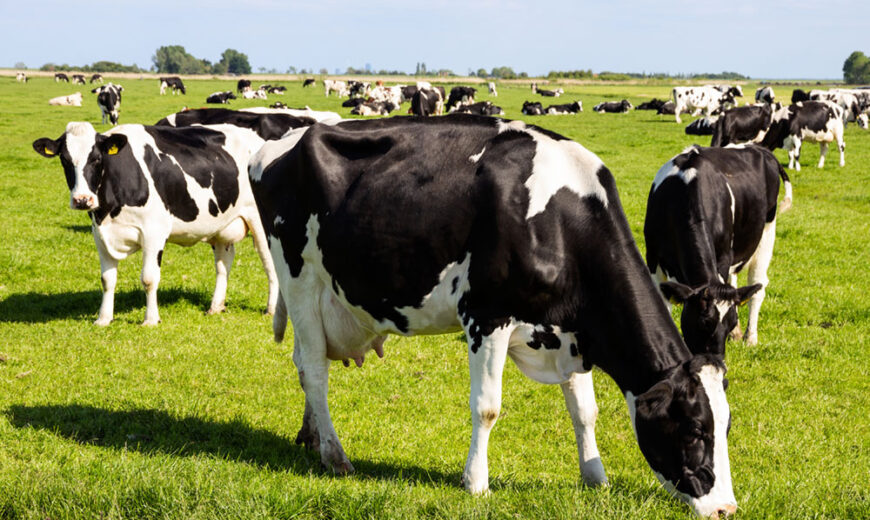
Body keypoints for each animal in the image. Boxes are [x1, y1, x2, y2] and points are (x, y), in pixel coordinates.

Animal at [32, 122, 279, 325]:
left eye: (96, 159)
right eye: (64, 160)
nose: (82, 199)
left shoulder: (154, 231)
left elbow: (149, 278)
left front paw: (150, 320)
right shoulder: (100, 234)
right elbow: (107, 279)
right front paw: (103, 319)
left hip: (261, 223)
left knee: (270, 263)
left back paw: (271, 309)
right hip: (220, 227)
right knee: (223, 264)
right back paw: (215, 307)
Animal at [248, 115, 739, 518]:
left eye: (727, 424)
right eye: (695, 429)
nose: (726, 508)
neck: (560, 222)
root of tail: (281, 142)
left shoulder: (573, 330)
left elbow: (586, 411)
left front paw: (595, 476)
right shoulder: (487, 315)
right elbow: (487, 407)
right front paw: (476, 483)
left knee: (304, 362)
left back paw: (311, 436)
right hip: (300, 277)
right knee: (314, 369)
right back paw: (335, 455)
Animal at [645, 144, 792, 353]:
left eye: (731, 322)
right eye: (703, 323)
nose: (717, 359)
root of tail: (760, 148)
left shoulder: (723, 256)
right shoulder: (653, 257)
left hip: (767, 229)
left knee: (758, 284)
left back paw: (750, 338)